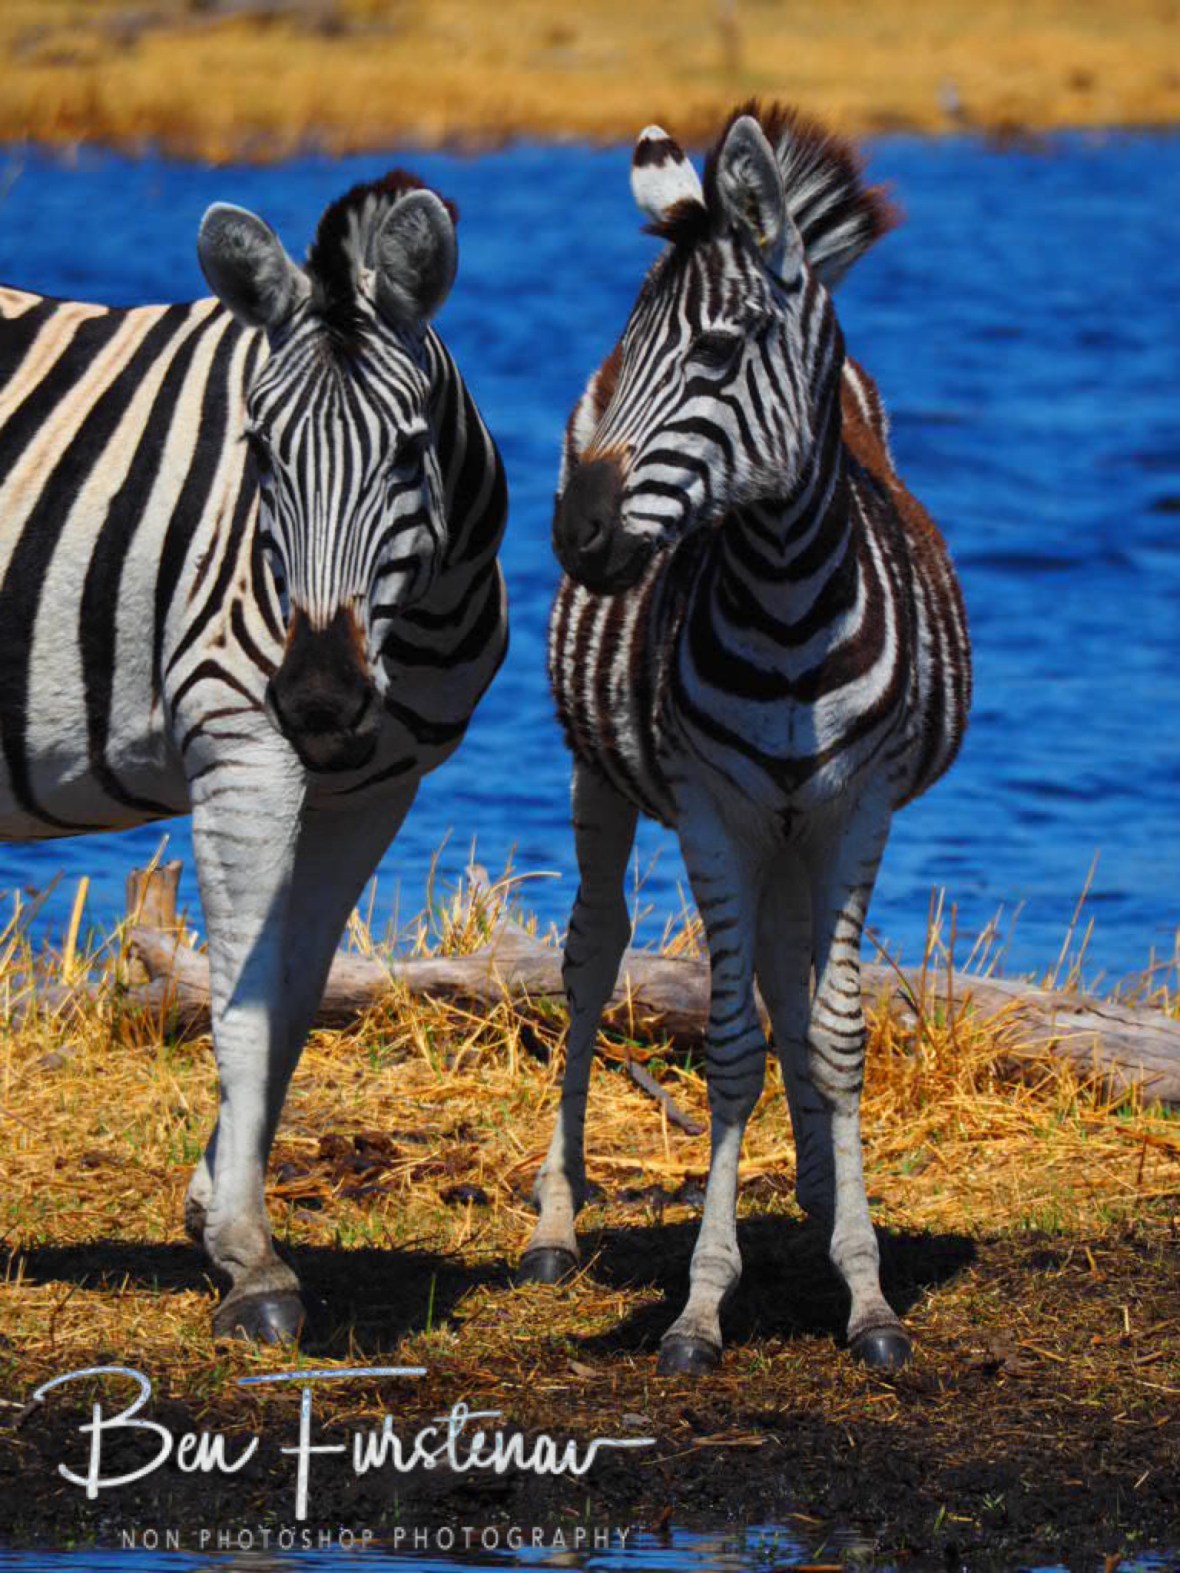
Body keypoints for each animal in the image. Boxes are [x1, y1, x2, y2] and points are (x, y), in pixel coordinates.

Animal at [0, 169, 508, 1342]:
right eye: (261, 453)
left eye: (407, 451)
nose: (317, 699)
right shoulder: (243, 751)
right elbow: (239, 1003)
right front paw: (251, 1262)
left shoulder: (371, 789)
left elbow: (296, 999)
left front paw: (211, 1211)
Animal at [520, 104, 971, 1373]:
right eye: (629, 350)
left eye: (718, 357)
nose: (577, 535)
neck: (782, 600)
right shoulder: (711, 809)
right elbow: (728, 1047)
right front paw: (698, 1306)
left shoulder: (854, 805)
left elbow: (834, 1031)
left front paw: (865, 1290)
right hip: (607, 777)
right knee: (590, 957)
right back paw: (556, 1224)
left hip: (797, 824)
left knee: (788, 970)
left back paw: (822, 1191)